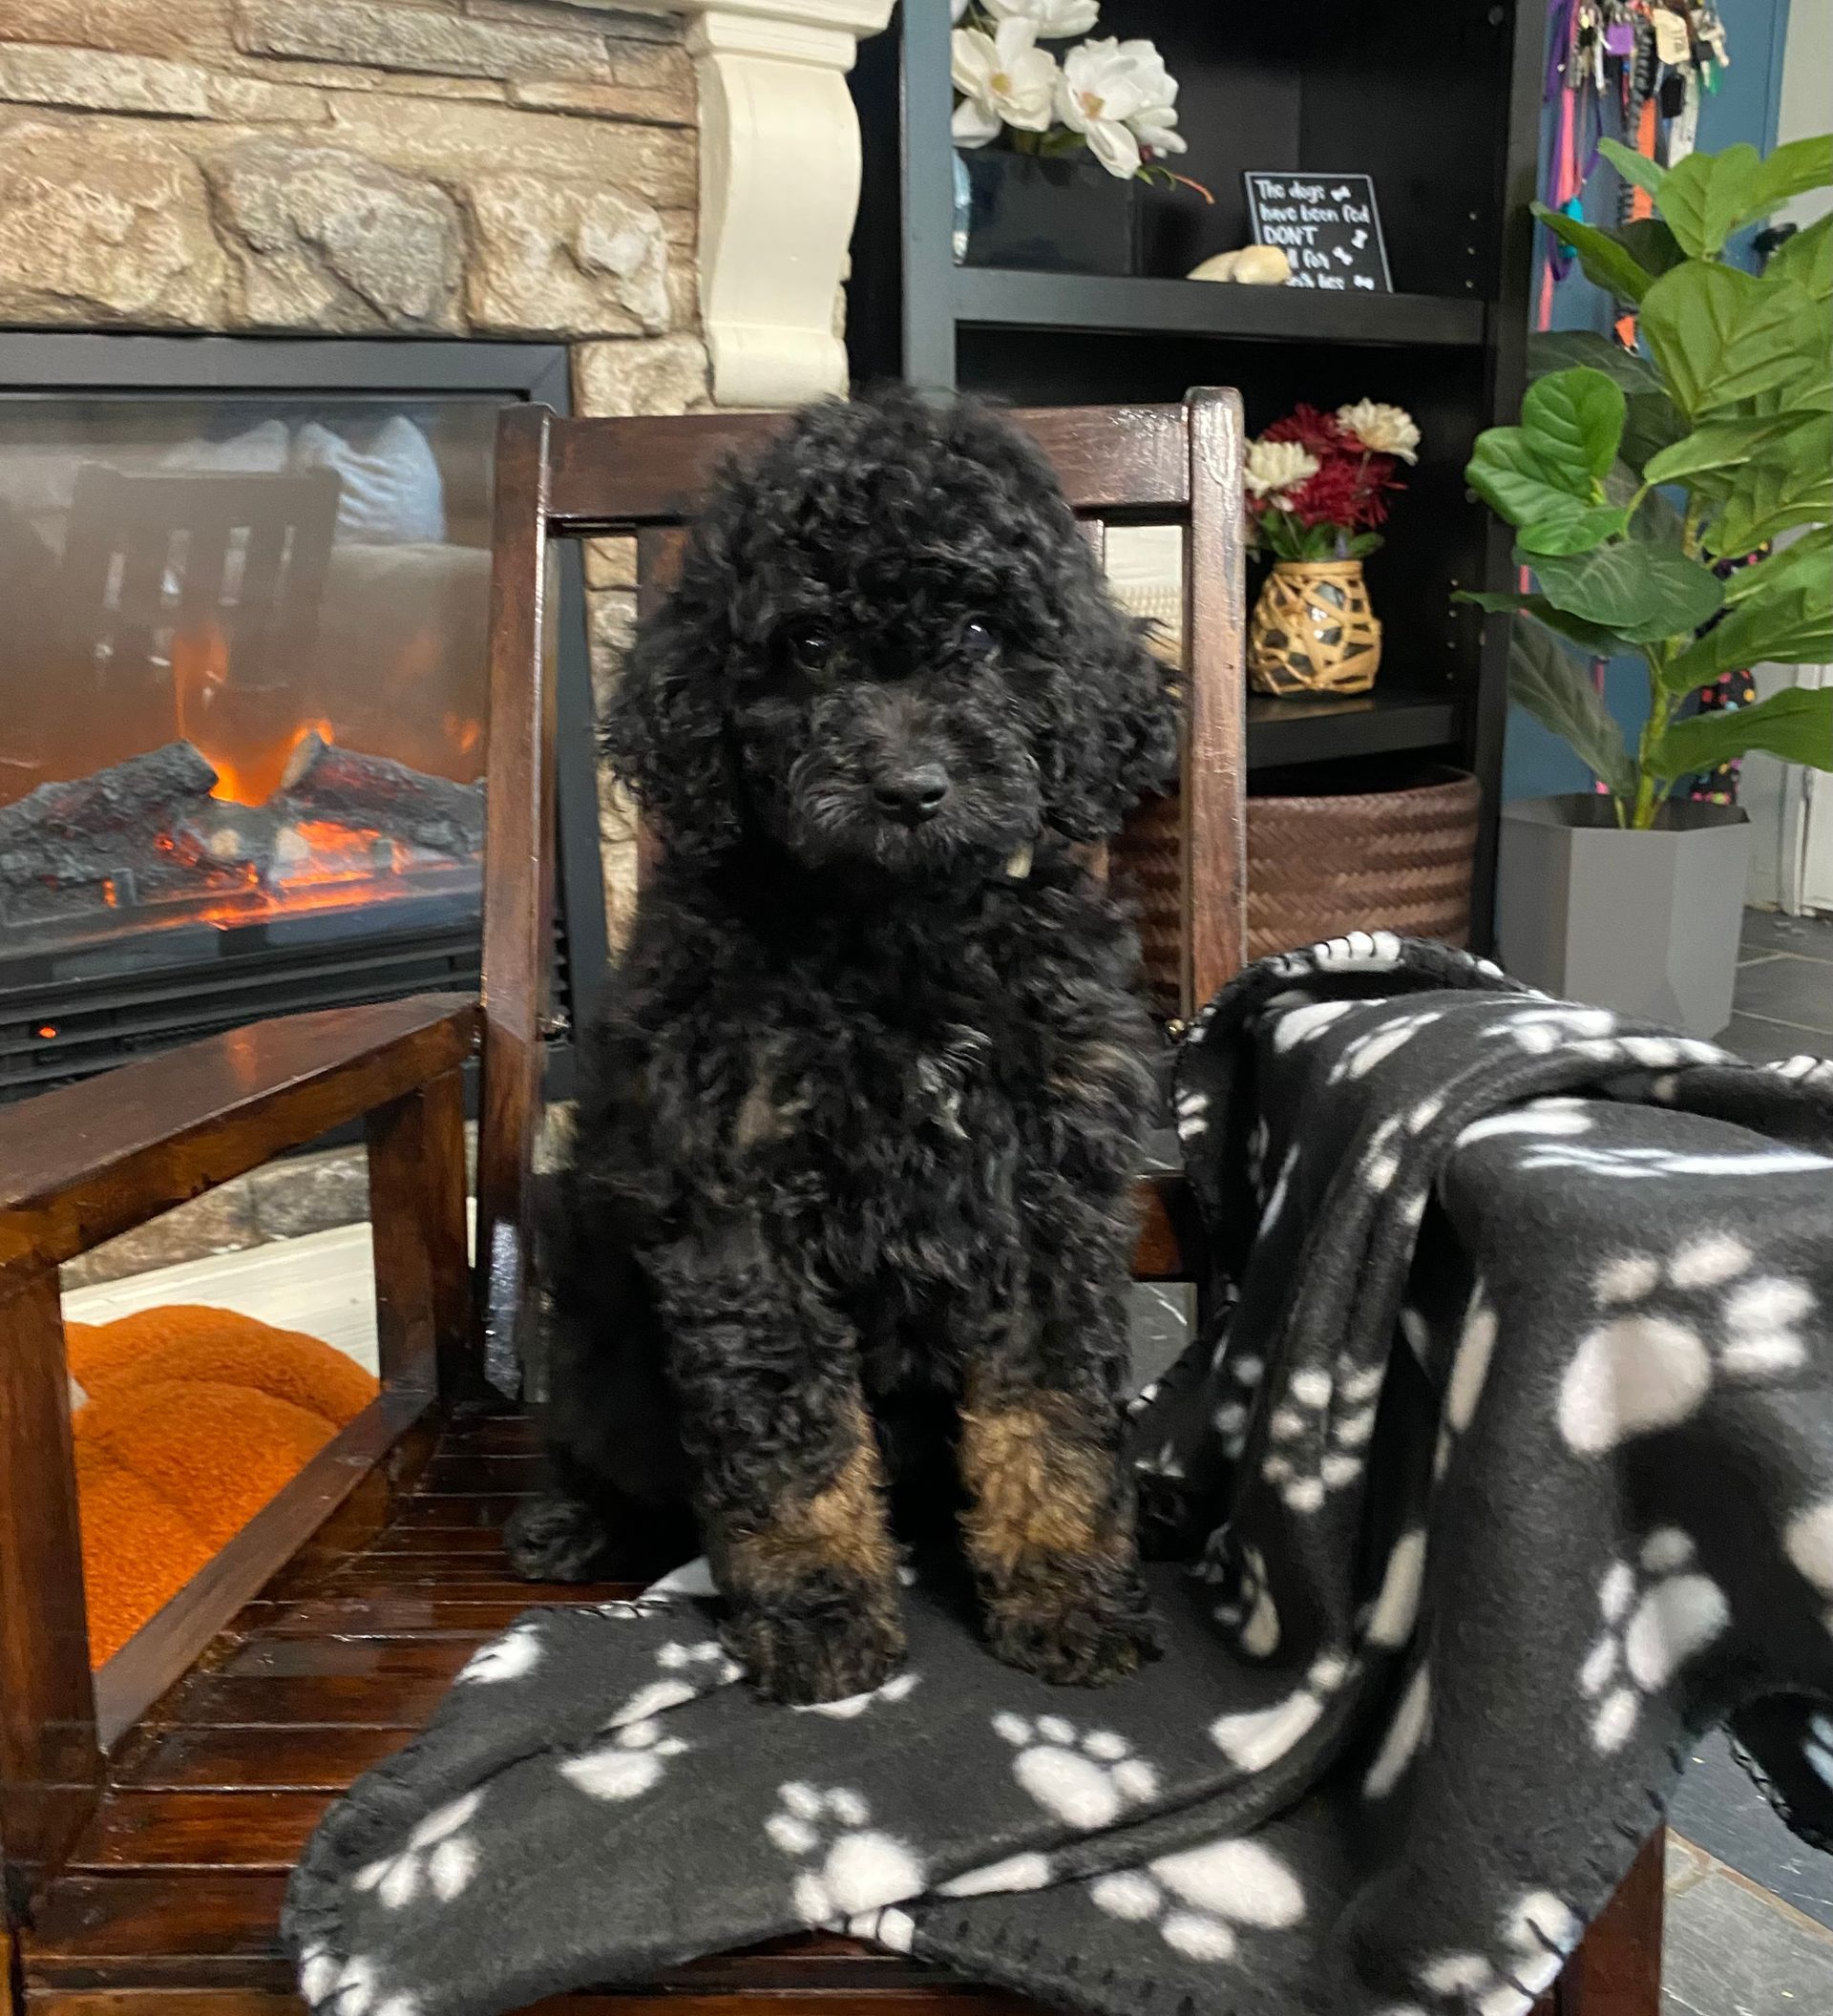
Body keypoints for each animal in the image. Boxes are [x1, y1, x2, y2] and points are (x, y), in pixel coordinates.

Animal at [508, 388, 1177, 1701]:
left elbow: (1054, 1413)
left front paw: (1068, 1591)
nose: (911, 787)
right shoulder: (738, 1206)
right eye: (809, 645)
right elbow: (790, 1438)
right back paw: (572, 1524)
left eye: (979, 631)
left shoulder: (1052, 1200)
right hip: (599, 1319)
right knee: (607, 1446)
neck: (900, 930)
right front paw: (820, 1615)